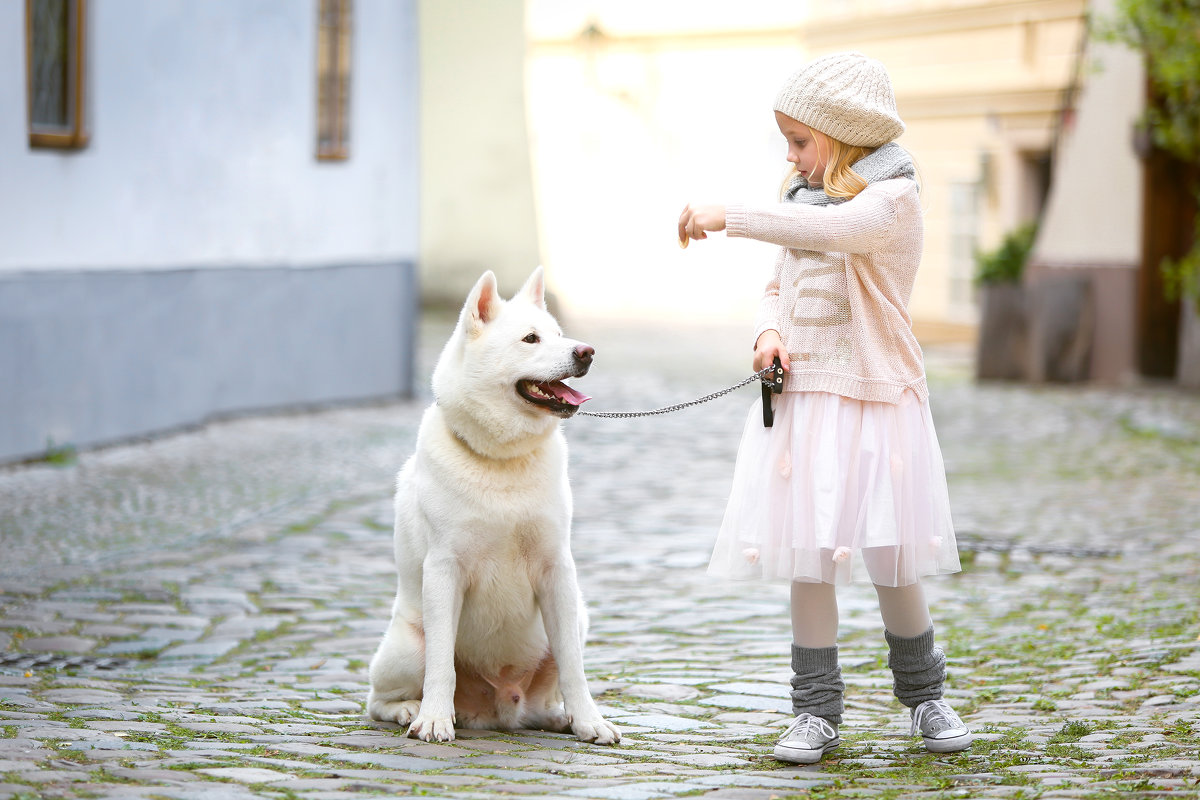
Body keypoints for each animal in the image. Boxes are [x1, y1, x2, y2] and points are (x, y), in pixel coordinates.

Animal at [367, 267, 624, 743]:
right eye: (530, 339)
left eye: (559, 334)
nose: (586, 352)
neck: (504, 461)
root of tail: (498, 710)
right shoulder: (444, 570)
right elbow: (442, 665)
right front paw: (434, 718)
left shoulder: (557, 571)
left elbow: (574, 668)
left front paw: (589, 721)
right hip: (407, 646)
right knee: (379, 698)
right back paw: (411, 710)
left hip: (575, 619)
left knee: (548, 690)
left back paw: (559, 716)